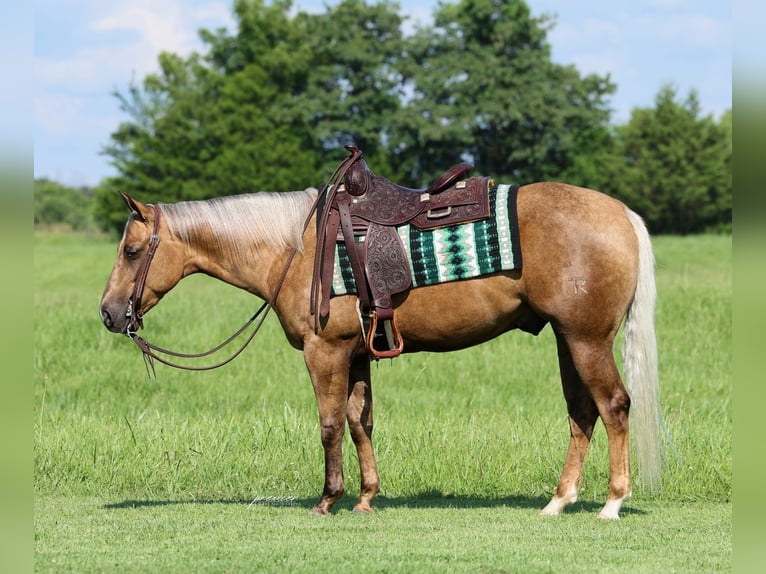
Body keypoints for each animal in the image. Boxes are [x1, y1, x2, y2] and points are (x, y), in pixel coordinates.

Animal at [99, 176, 663, 520]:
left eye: (132, 251)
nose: (108, 313)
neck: (295, 248)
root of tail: (621, 214)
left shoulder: (324, 351)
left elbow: (329, 423)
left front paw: (328, 499)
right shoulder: (357, 354)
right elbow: (359, 422)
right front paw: (366, 497)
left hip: (587, 340)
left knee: (614, 407)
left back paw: (613, 502)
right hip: (568, 341)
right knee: (582, 414)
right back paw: (559, 501)